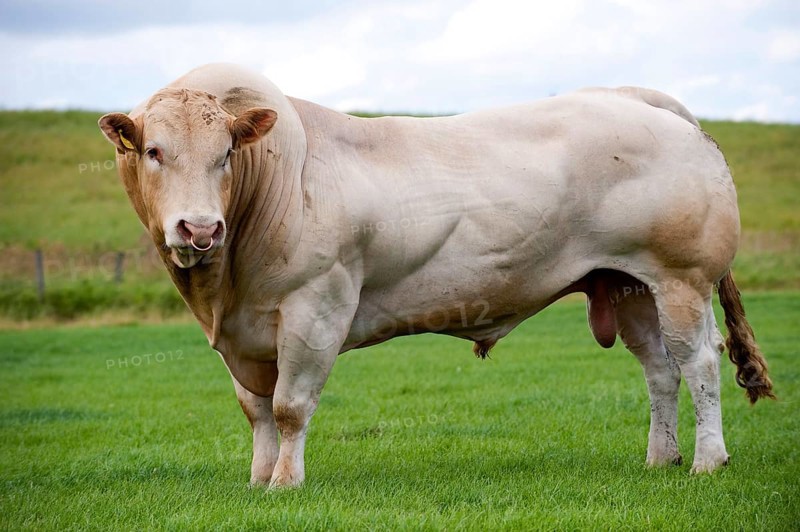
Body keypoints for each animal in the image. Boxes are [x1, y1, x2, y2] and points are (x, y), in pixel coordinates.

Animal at [98, 63, 773, 488]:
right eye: (153, 151)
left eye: (225, 155)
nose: (199, 227)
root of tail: (634, 97)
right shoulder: (244, 338)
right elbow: (256, 412)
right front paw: (259, 479)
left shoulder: (318, 307)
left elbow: (290, 407)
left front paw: (286, 484)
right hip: (629, 284)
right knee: (659, 369)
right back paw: (661, 458)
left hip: (680, 278)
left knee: (699, 362)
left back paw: (708, 460)